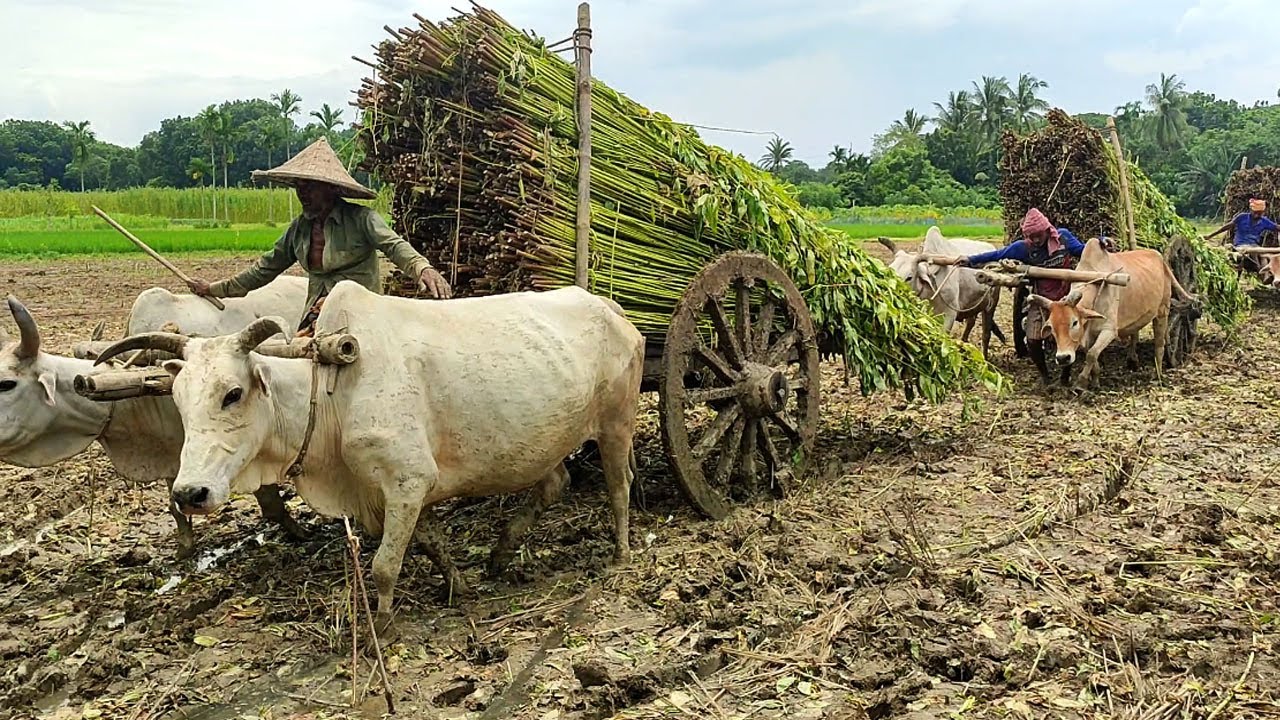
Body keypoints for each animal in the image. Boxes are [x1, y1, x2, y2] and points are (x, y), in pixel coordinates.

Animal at [0, 276, 310, 556]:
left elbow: (271, 504)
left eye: (6, 384)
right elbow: (176, 508)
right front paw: (185, 550)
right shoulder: (176, 458)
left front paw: (301, 533)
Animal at [92, 280, 645, 632]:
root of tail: (613, 309)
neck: (331, 390)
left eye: (233, 393)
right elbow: (429, 544)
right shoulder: (395, 494)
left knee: (620, 486)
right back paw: (501, 554)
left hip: (617, 424)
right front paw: (460, 584)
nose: (190, 492)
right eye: (178, 399)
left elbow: (383, 566)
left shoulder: (406, 481)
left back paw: (620, 554)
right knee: (555, 484)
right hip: (545, 440)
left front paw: (383, 625)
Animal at [879, 226, 1007, 358]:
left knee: (986, 334)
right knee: (970, 323)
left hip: (991, 305)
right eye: (890, 270)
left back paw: (984, 357)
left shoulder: (950, 314)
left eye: (909, 277)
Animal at [1028, 238, 1194, 389]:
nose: (1062, 358)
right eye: (1051, 327)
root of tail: (1160, 258)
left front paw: (1081, 383)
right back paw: (1133, 361)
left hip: (1163, 310)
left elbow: (1092, 354)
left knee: (1160, 344)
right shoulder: (1088, 334)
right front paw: (1095, 382)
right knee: (1135, 334)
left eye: (1074, 322)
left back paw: (1158, 373)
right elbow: (1092, 355)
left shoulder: (1109, 330)